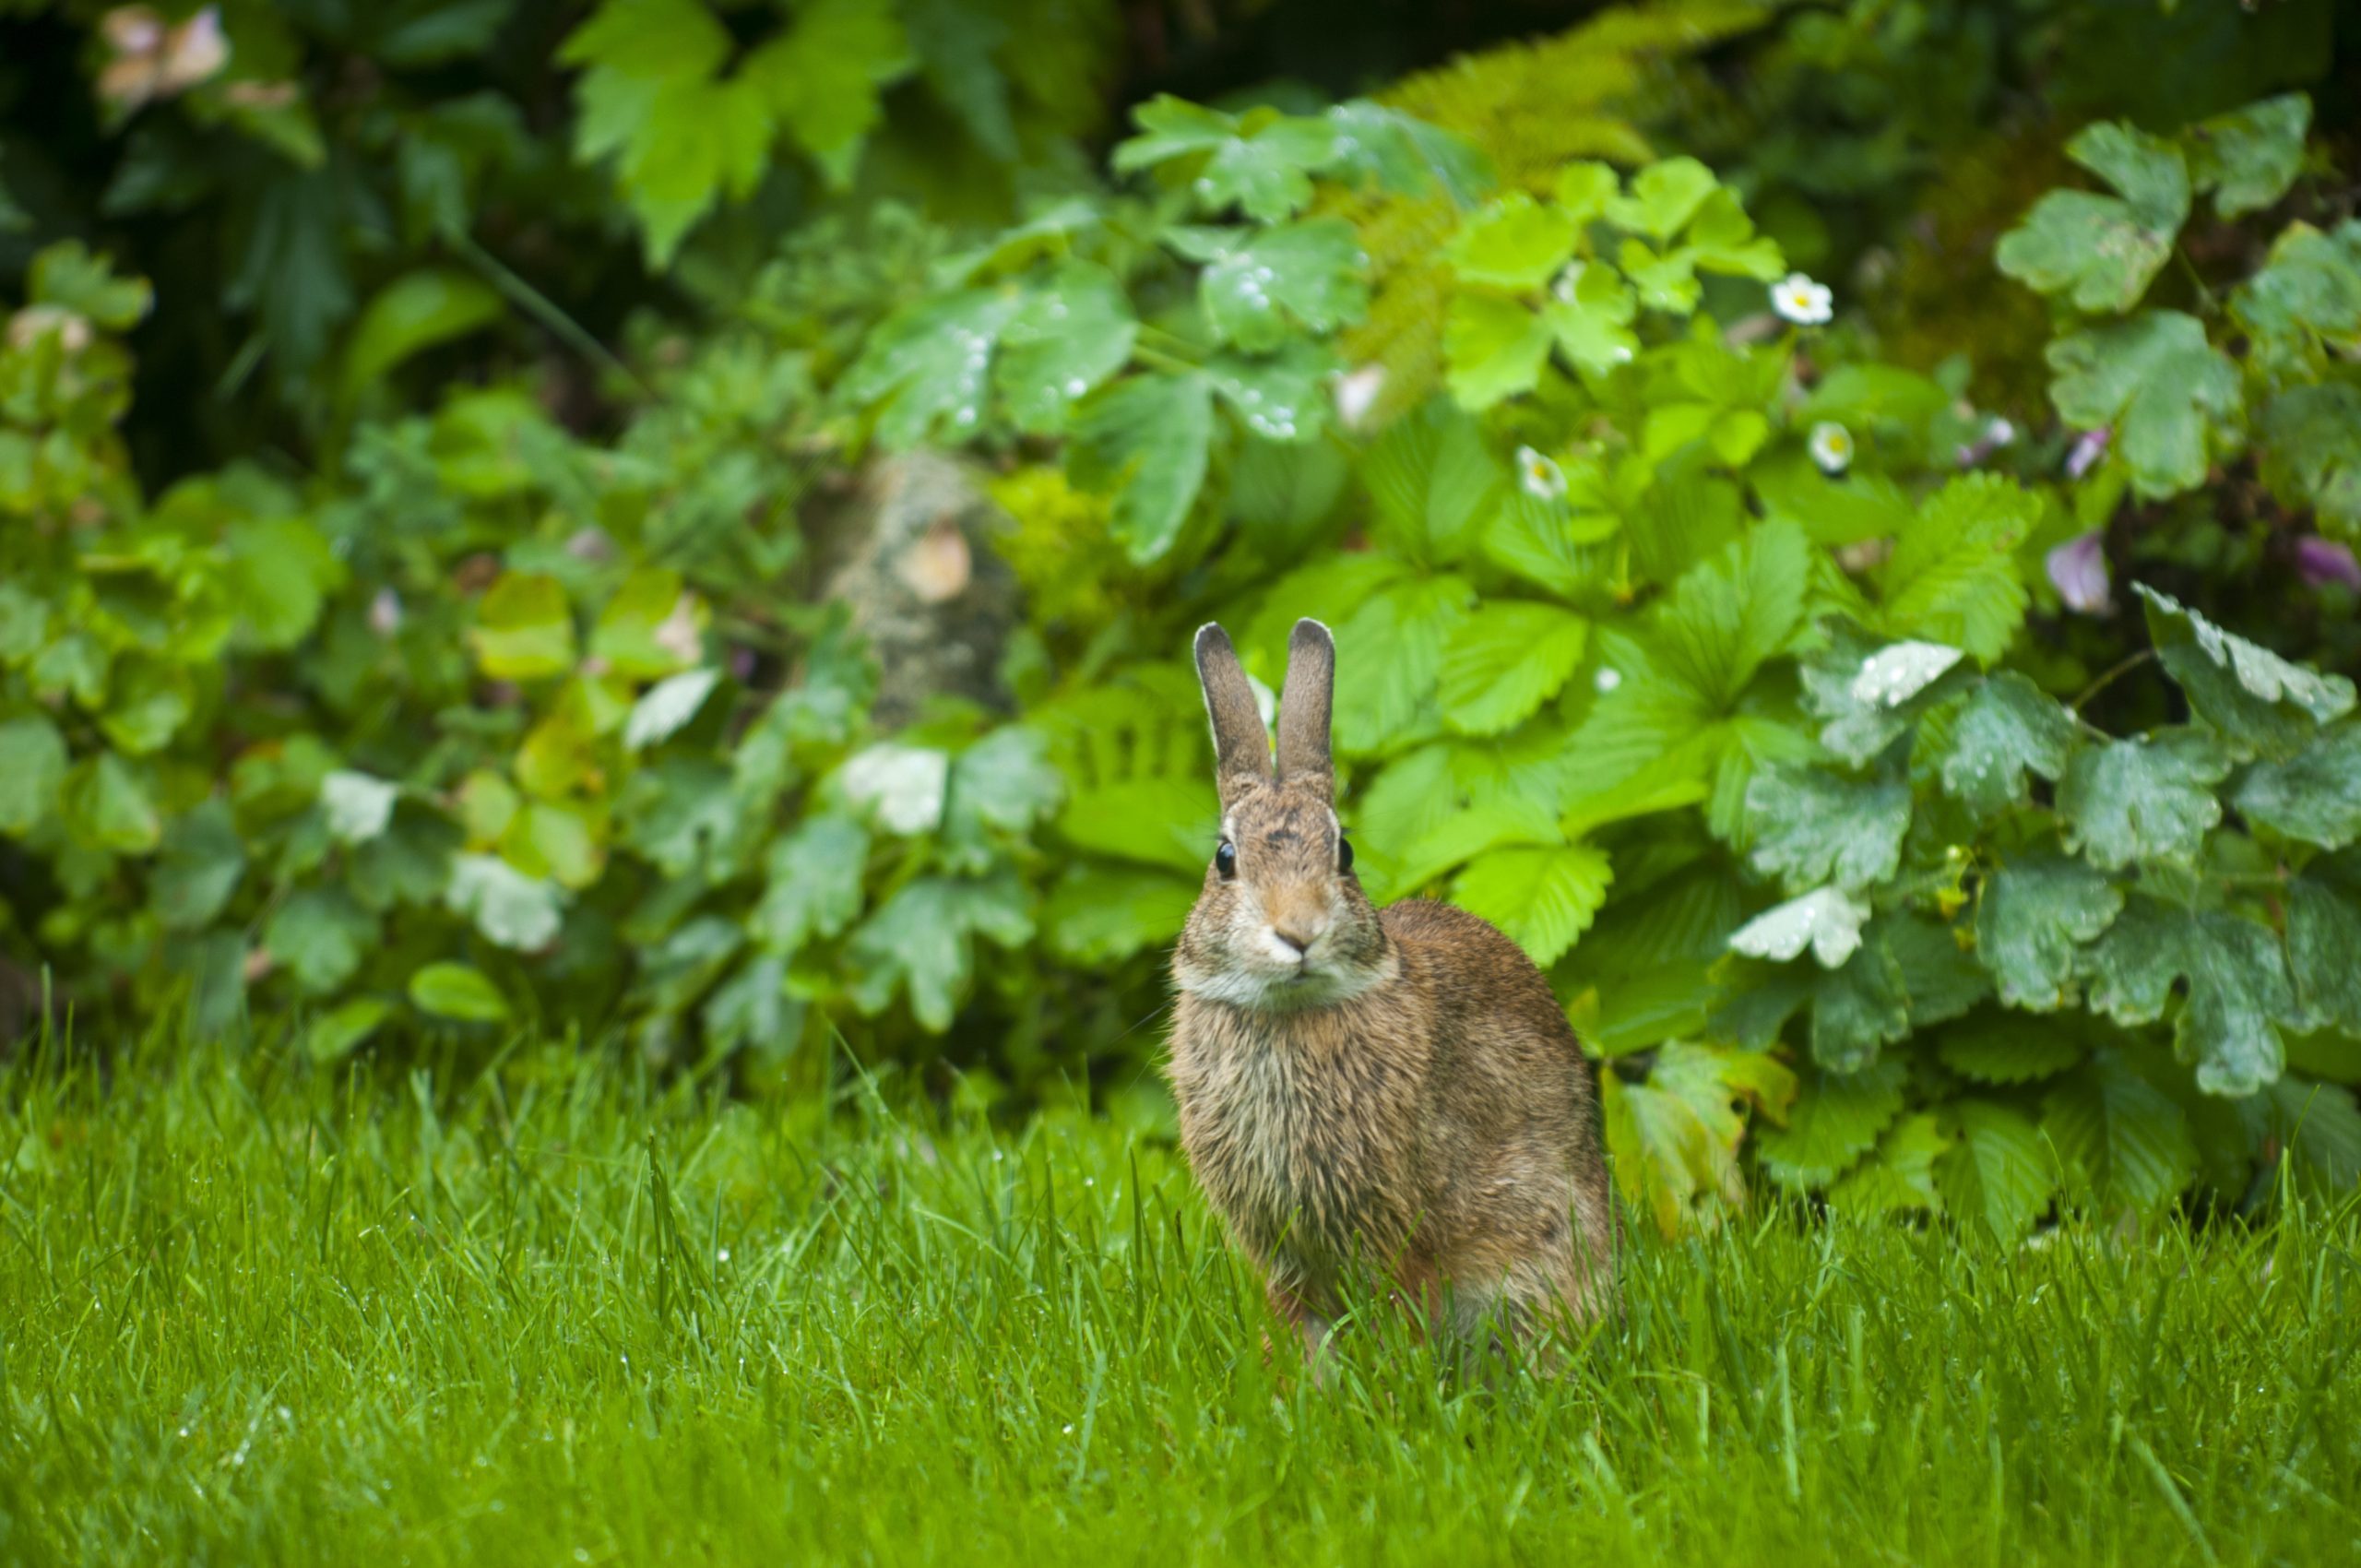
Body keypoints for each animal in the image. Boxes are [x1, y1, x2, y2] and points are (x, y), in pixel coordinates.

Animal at [1166, 618, 1616, 1367]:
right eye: (1225, 860)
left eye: (1344, 853)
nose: (1299, 932)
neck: (1289, 1017)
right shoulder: (1286, 1260)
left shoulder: (1401, 1232)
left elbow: (1399, 1308)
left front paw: (1392, 1379)